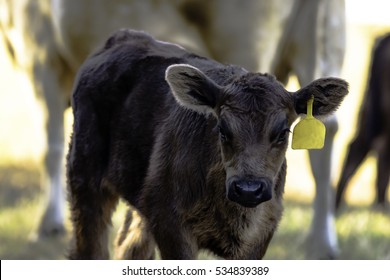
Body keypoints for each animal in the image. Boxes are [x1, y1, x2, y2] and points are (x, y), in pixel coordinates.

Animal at [1, 0, 346, 260]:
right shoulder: (170, 224)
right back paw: (323, 244)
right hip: (90, 181)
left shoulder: (41, 56)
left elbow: (49, 146)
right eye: (221, 128)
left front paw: (47, 225)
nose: (249, 188)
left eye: (283, 132)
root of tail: (126, 36)